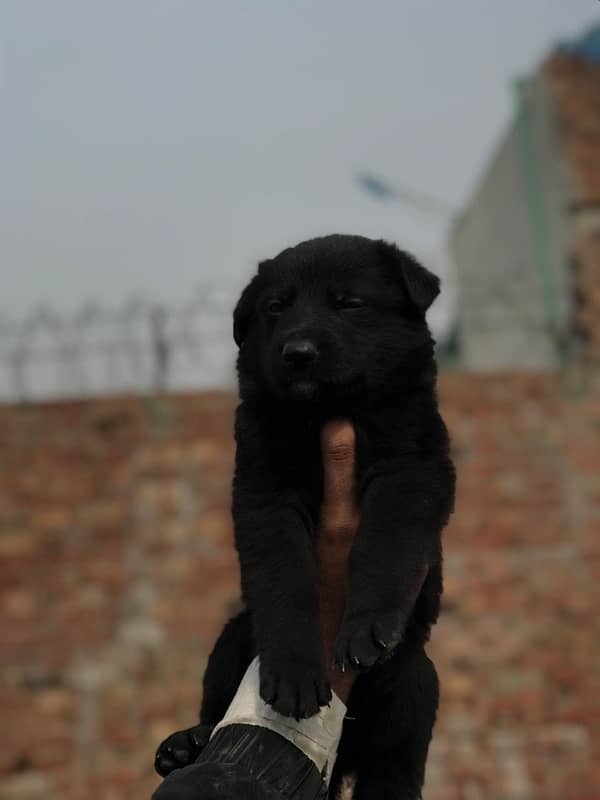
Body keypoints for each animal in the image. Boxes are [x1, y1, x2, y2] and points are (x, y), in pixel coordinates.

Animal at [155, 234, 454, 796]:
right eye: (276, 307)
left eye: (349, 303)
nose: (298, 353)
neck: (326, 412)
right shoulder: (265, 492)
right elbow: (285, 581)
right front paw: (295, 674)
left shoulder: (410, 470)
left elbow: (384, 547)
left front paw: (366, 626)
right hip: (235, 635)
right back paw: (188, 742)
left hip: (412, 687)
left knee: (395, 770)